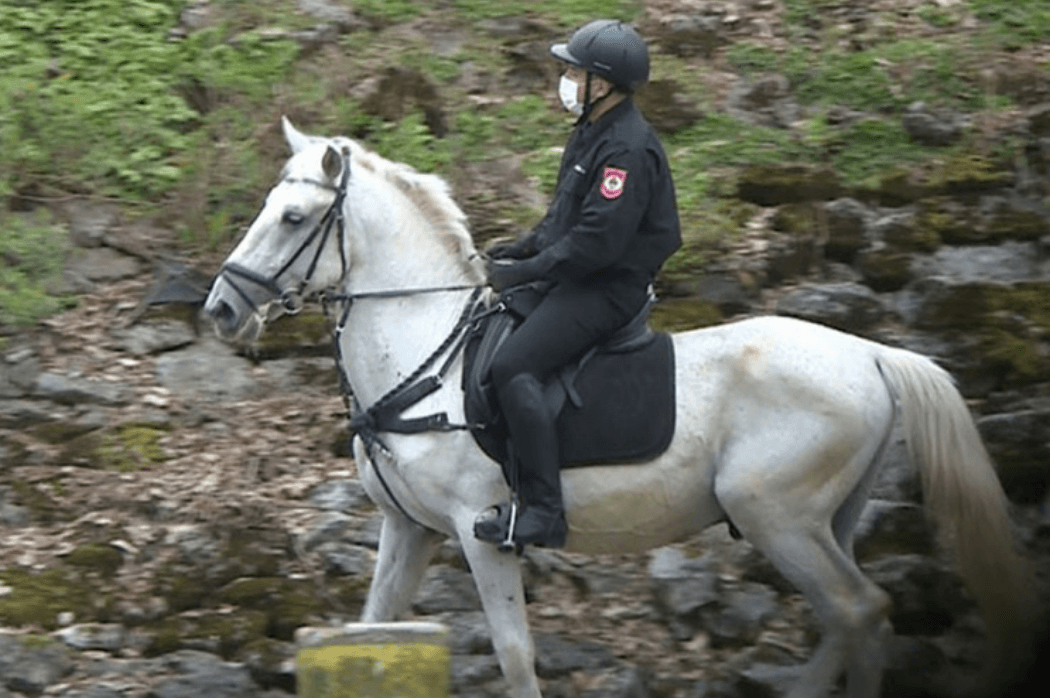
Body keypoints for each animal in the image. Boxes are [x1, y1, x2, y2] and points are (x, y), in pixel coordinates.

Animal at [204, 119, 1033, 696]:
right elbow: (372, 629)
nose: (220, 309)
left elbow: (514, 657)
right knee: (855, 621)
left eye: (292, 219)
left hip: (776, 515)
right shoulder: (408, 530)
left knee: (859, 610)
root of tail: (869, 352)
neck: (422, 355)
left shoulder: (480, 535)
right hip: (827, 519)